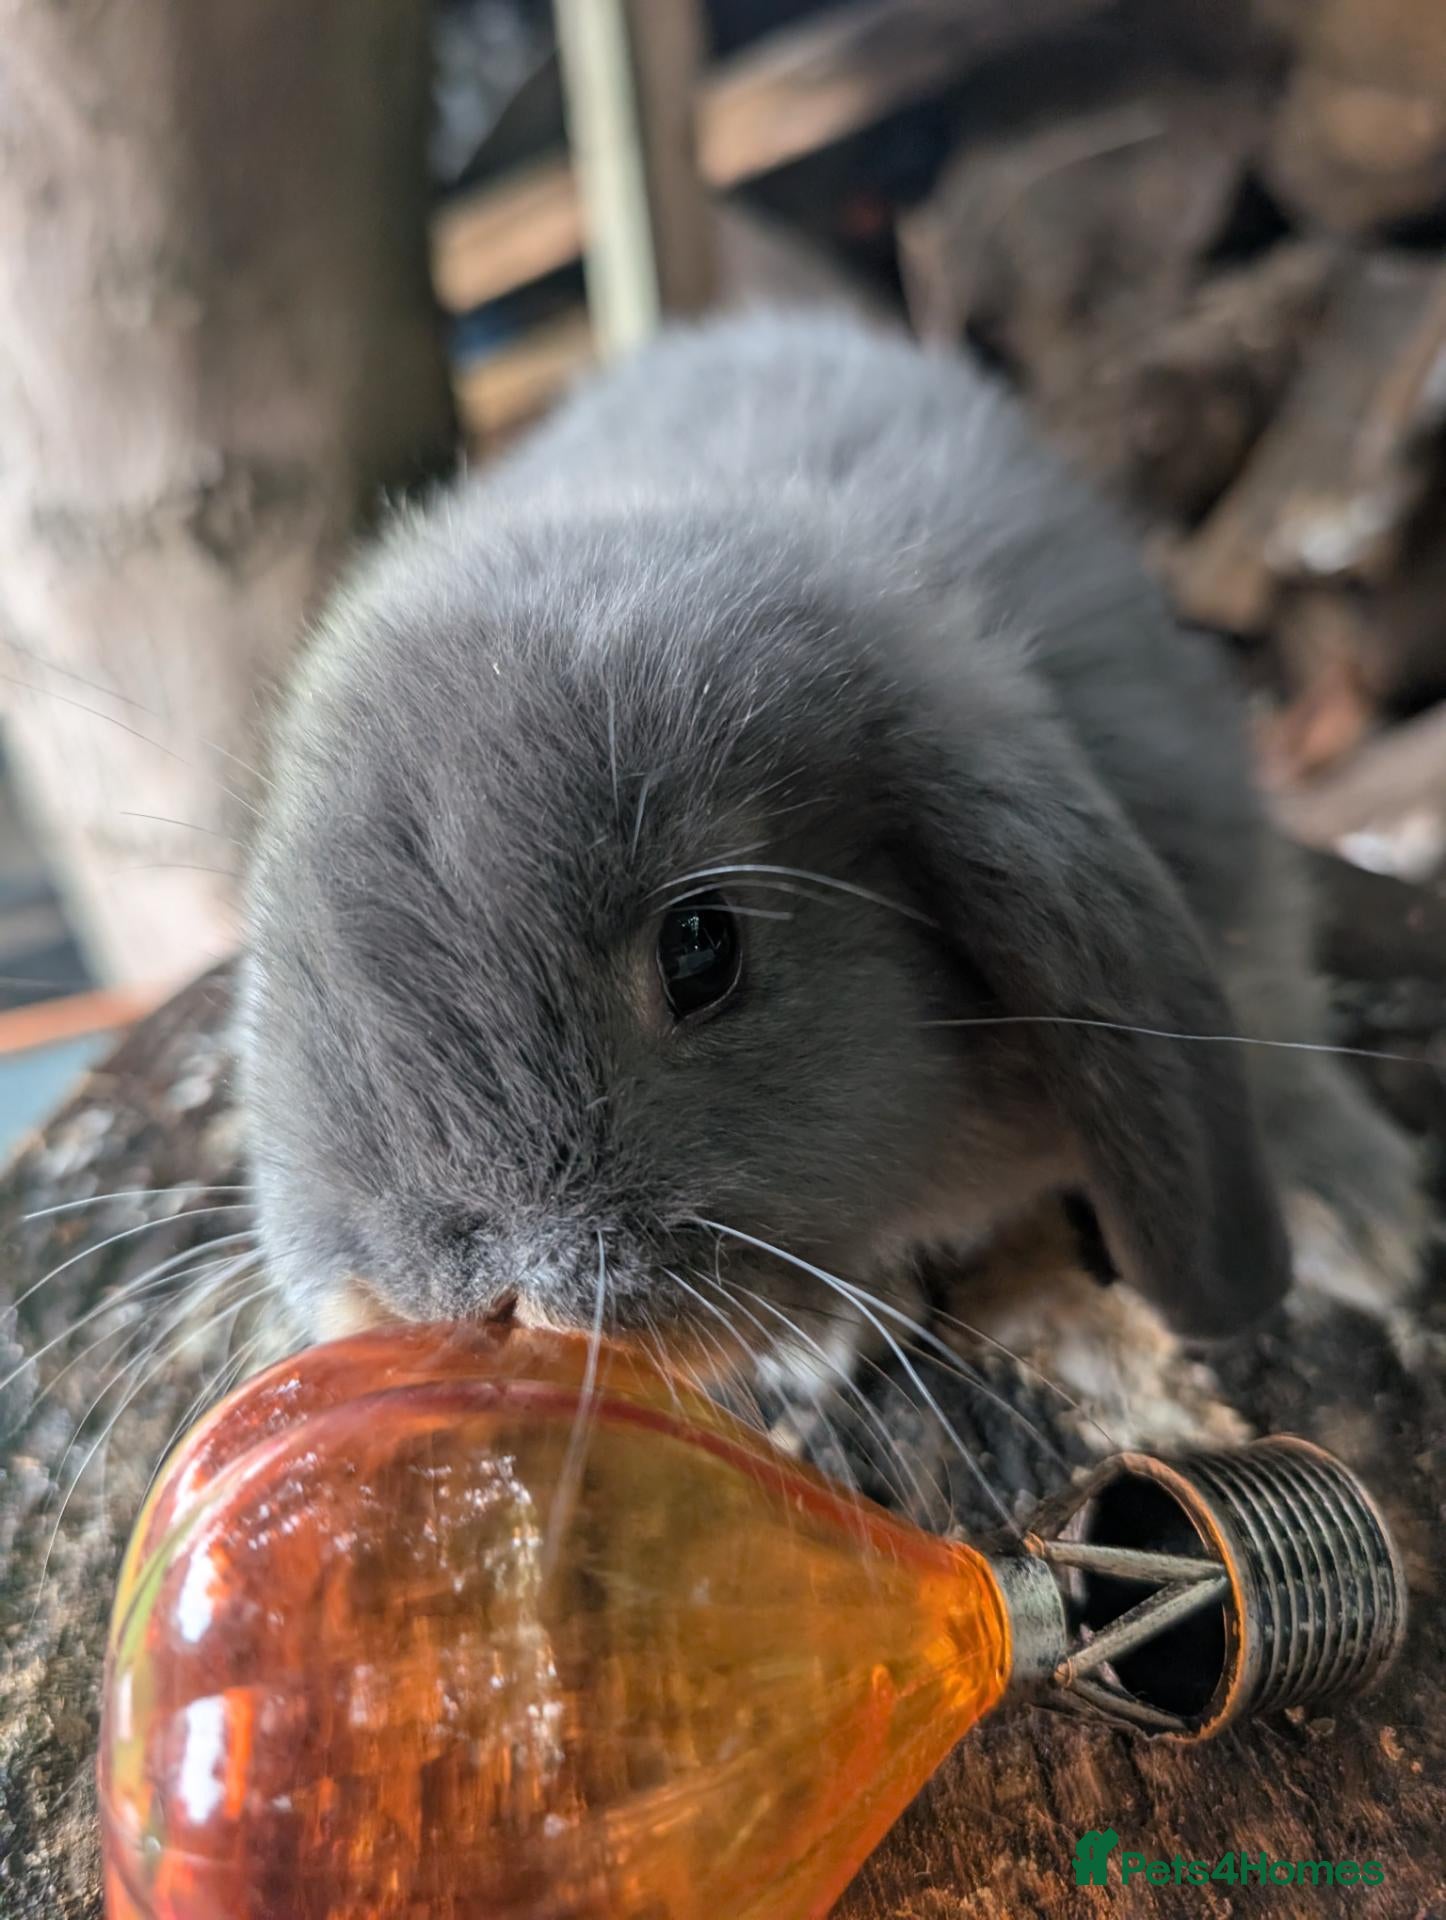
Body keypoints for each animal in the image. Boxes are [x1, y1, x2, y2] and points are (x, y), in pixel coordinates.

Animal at [237, 310, 1423, 1398]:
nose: (463, 1293)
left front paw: (1363, 1223)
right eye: (306, 975)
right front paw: (818, 1341)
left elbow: (1273, 1033)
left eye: (701, 949)